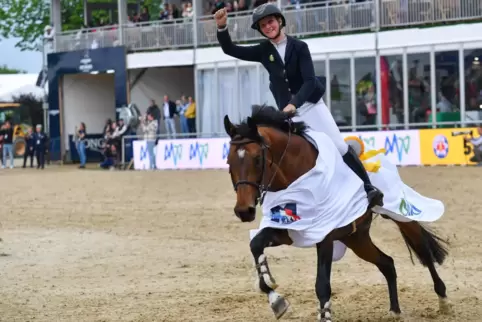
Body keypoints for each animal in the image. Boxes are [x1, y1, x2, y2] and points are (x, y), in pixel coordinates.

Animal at [224, 105, 450, 320]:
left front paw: (323, 315)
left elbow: (322, 284)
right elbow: (256, 245)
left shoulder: (325, 236)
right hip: (356, 238)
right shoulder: (289, 228)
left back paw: (443, 300)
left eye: (257, 159)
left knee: (424, 252)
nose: (244, 211)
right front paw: (275, 299)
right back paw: (394, 310)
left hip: (400, 215)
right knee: (387, 263)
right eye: (228, 161)